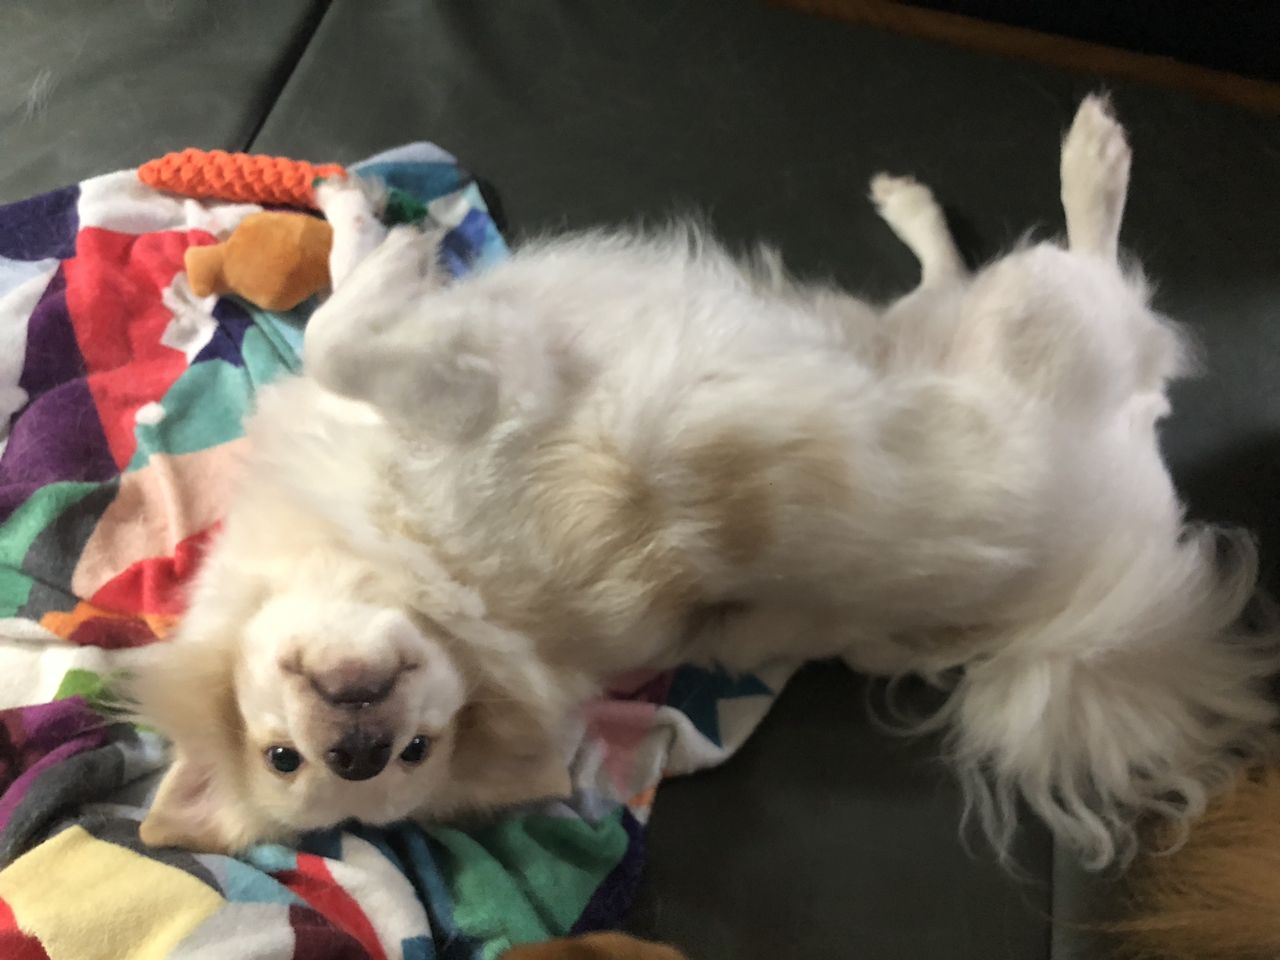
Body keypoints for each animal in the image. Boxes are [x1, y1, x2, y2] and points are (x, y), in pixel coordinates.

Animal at [133, 96, 1278, 870]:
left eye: (409, 751)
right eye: (295, 764)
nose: (361, 747)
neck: (430, 572)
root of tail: (1100, 578)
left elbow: (338, 315)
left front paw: (356, 215)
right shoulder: (477, 391)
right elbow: (340, 338)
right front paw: (378, 247)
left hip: (951, 329)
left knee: (954, 286)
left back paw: (949, 194)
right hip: (1045, 318)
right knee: (1102, 288)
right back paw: (1085, 162)